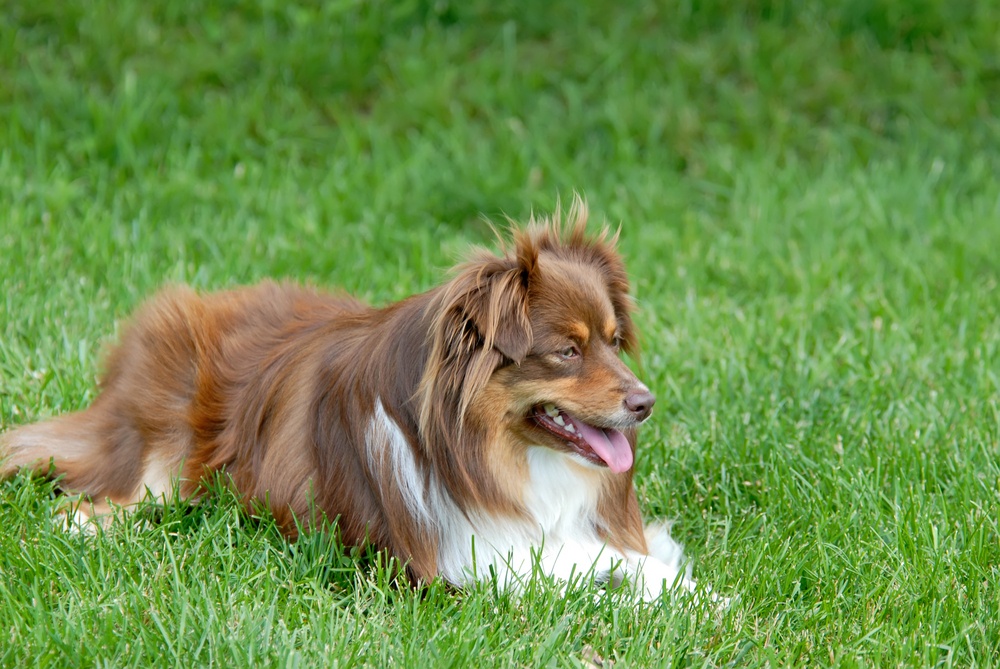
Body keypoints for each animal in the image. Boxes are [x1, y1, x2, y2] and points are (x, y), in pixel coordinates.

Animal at [1, 202, 704, 600]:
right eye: (566, 352)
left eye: (613, 341)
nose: (646, 403)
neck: (495, 455)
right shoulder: (472, 564)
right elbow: (588, 588)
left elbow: (640, 568)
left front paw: (698, 598)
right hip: (165, 450)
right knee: (110, 495)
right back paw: (84, 526)